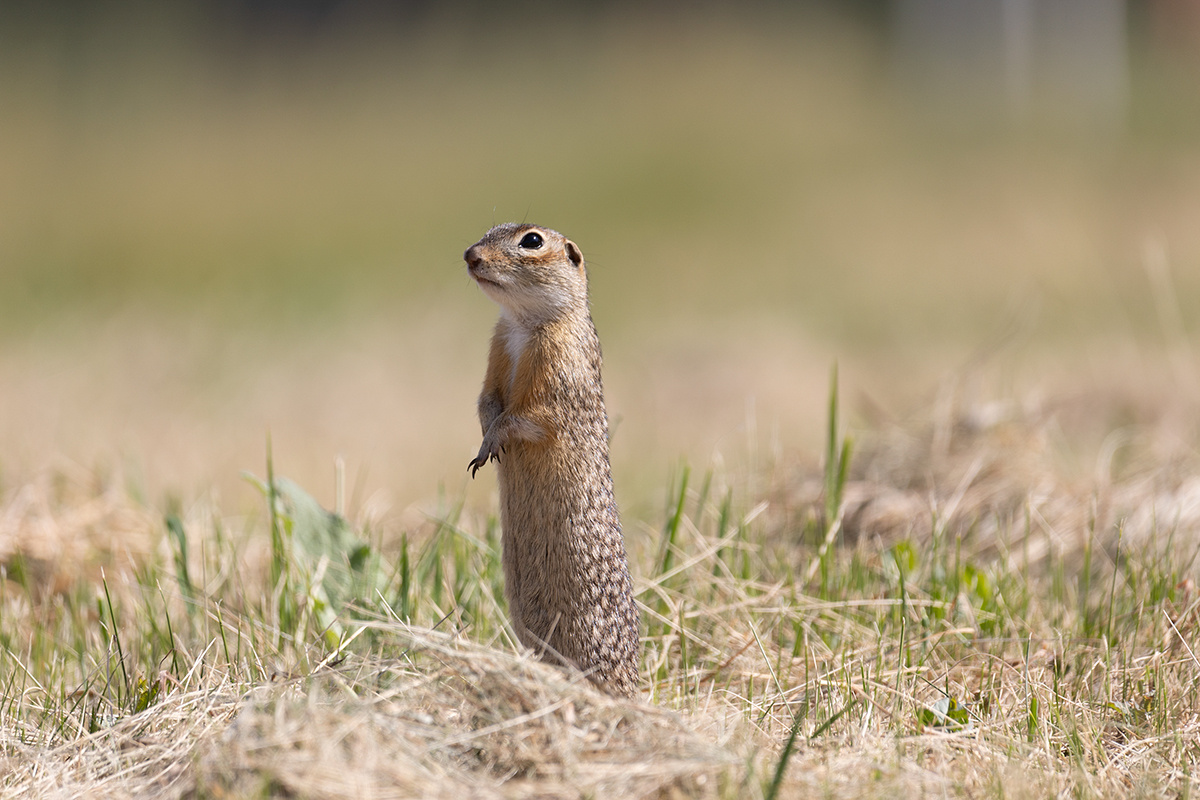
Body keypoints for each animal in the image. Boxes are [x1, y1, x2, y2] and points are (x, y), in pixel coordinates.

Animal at [463, 221, 643, 695]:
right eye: (488, 230)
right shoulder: (495, 352)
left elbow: (528, 415)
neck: (523, 325)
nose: (470, 255)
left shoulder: (557, 370)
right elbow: (486, 402)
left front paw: (492, 442)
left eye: (531, 241)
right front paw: (484, 442)